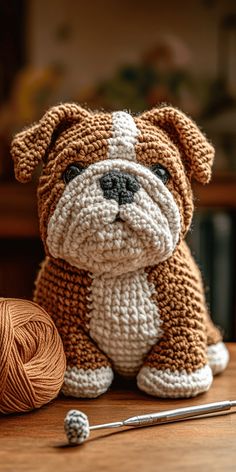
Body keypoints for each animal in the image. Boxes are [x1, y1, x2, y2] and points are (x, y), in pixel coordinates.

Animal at [11, 103, 229, 398]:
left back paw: (214, 352)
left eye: (161, 172)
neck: (119, 270)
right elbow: (76, 347)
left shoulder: (182, 320)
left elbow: (181, 339)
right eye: (72, 171)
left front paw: (176, 381)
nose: (119, 181)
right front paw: (81, 379)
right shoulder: (64, 323)